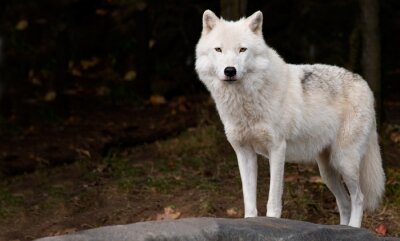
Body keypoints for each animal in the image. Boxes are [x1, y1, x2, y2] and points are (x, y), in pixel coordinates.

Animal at [195, 9, 386, 228]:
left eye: (242, 49)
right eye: (218, 49)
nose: (230, 70)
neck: (246, 102)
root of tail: (364, 83)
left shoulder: (278, 148)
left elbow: (273, 199)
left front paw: (271, 222)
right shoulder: (243, 152)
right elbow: (249, 199)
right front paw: (250, 221)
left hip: (344, 161)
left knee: (358, 198)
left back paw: (353, 228)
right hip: (327, 171)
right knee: (345, 202)